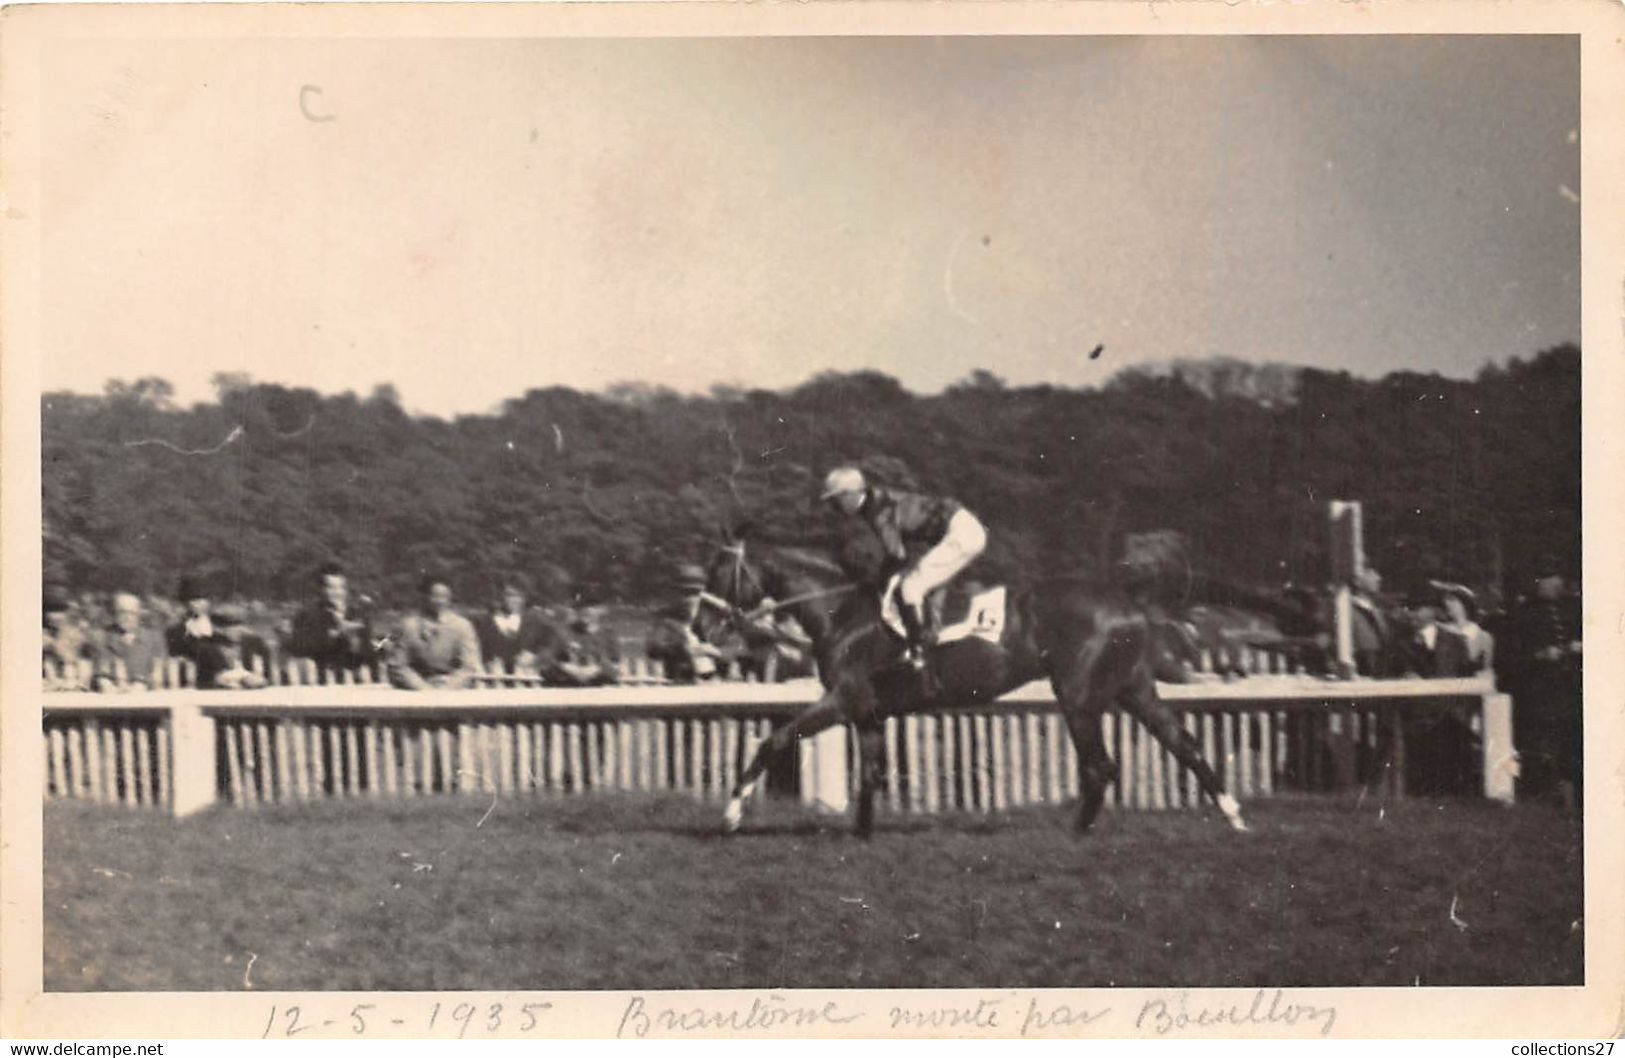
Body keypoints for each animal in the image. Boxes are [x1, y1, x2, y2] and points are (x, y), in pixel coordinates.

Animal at [692, 533, 1248, 838]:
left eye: (719, 572)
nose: (699, 629)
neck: (840, 612)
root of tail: (1128, 600)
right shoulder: (869, 711)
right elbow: (870, 775)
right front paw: (861, 836)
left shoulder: (842, 698)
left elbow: (772, 741)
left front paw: (730, 816)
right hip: (1134, 688)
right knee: (1185, 744)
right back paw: (1234, 816)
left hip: (1078, 696)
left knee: (1100, 766)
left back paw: (1077, 832)